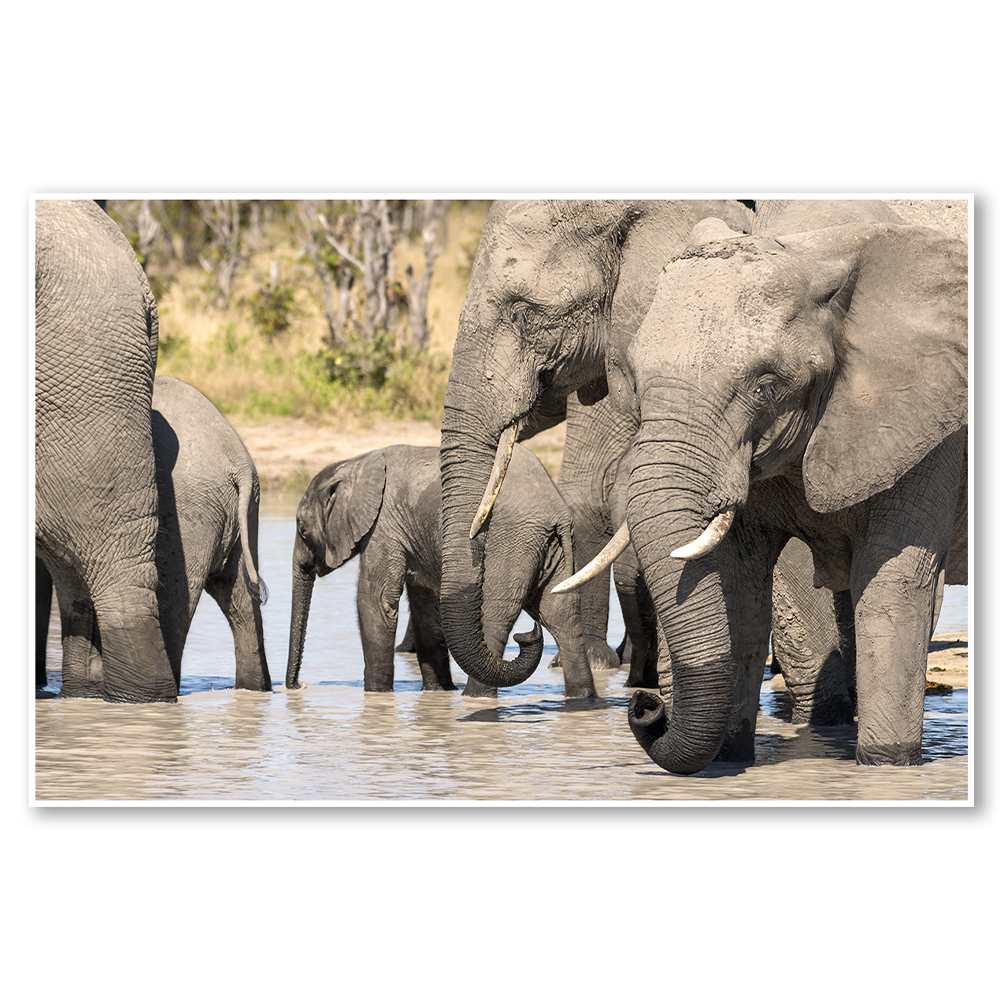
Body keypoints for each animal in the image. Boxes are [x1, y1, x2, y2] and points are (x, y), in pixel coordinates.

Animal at [286, 443, 596, 698]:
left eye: (302, 528)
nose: (298, 686)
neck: (354, 463)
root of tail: (556, 511)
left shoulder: (384, 526)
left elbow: (376, 601)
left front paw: (376, 694)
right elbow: (425, 608)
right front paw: (438, 692)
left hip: (511, 543)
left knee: (496, 615)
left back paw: (475, 698)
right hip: (552, 551)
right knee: (562, 617)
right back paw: (582, 699)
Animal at [584, 202, 968, 772]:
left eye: (765, 387)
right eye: (631, 377)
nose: (646, 706)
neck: (813, 251)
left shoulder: (930, 420)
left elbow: (894, 583)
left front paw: (886, 765)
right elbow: (739, 585)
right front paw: (728, 759)